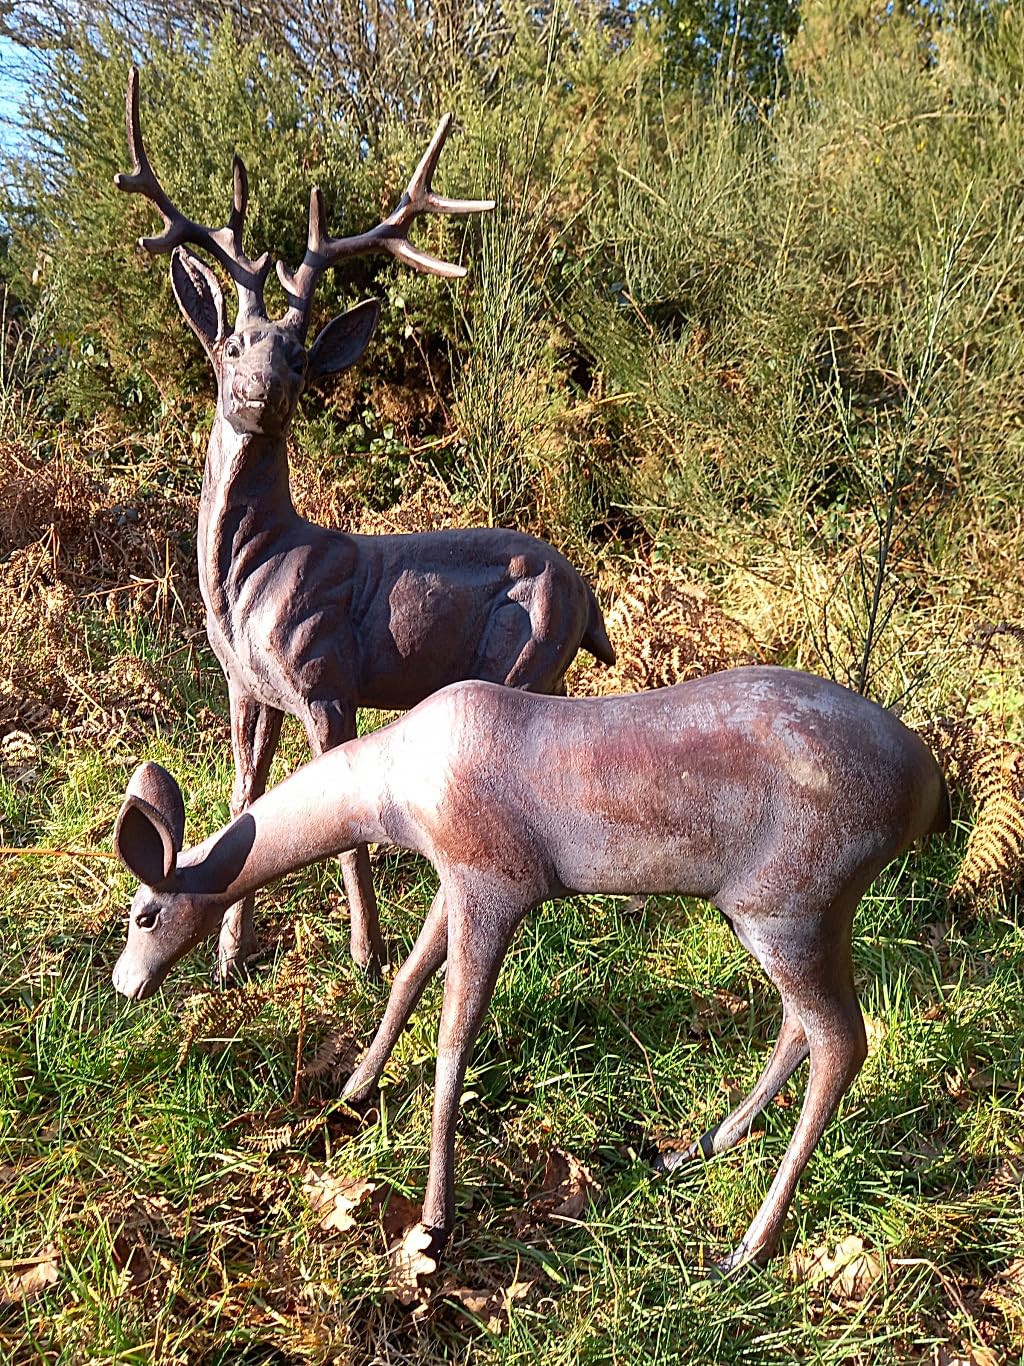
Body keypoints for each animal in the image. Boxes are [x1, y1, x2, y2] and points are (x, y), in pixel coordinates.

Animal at [110, 665, 949, 1275]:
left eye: (143, 914)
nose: (125, 983)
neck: (394, 793)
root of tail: (929, 787)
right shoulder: (455, 877)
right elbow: (407, 977)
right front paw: (354, 1087)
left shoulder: (497, 882)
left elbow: (454, 1041)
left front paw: (436, 1220)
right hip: (784, 915)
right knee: (799, 1029)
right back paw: (697, 1147)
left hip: (790, 905)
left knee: (842, 1041)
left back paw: (747, 1246)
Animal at [115, 68, 614, 983]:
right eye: (232, 345)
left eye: (300, 354)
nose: (261, 392)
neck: (249, 579)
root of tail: (587, 594)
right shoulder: (245, 686)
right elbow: (244, 800)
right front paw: (230, 958)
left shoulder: (325, 673)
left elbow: (341, 826)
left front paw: (368, 954)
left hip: (525, 654)